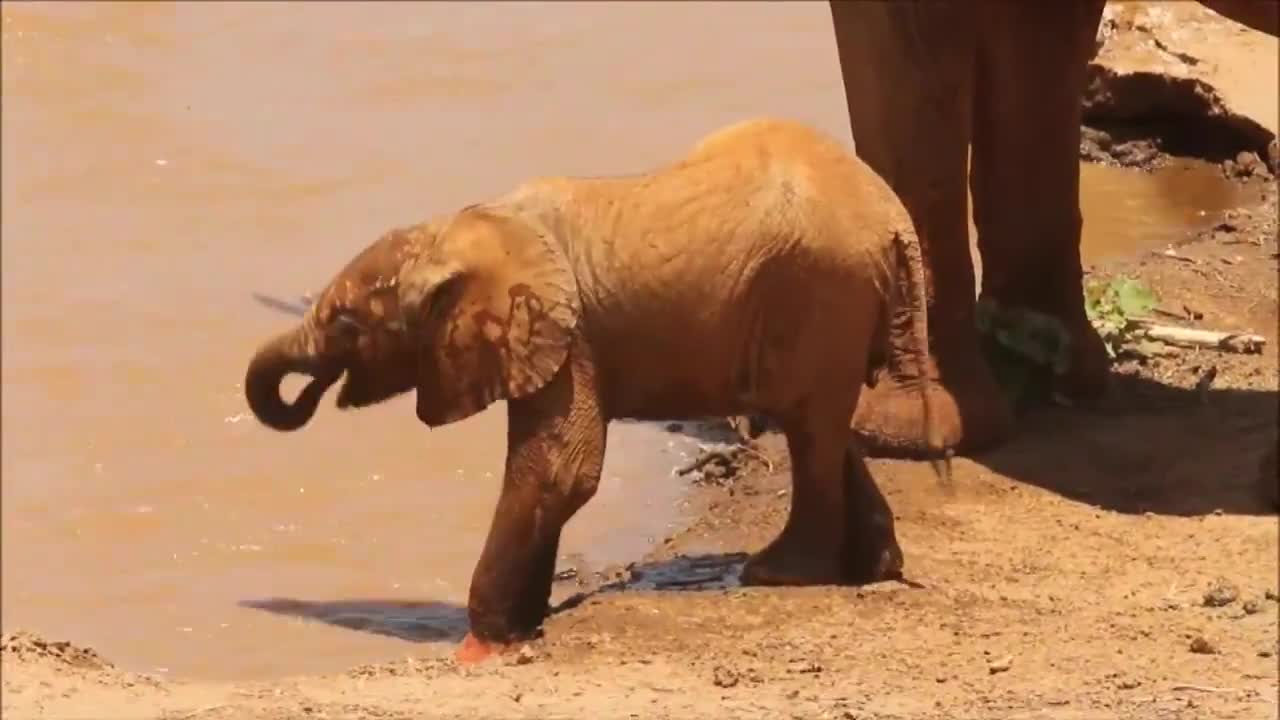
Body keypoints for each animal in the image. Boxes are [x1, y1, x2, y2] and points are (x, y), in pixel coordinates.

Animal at [244, 116, 952, 661]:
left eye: (345, 324)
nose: (308, 394)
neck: (467, 227)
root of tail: (895, 220)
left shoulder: (567, 337)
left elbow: (560, 470)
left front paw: (483, 645)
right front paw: (526, 624)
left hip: (820, 292)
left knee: (807, 426)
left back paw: (776, 573)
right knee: (822, 422)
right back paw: (874, 567)